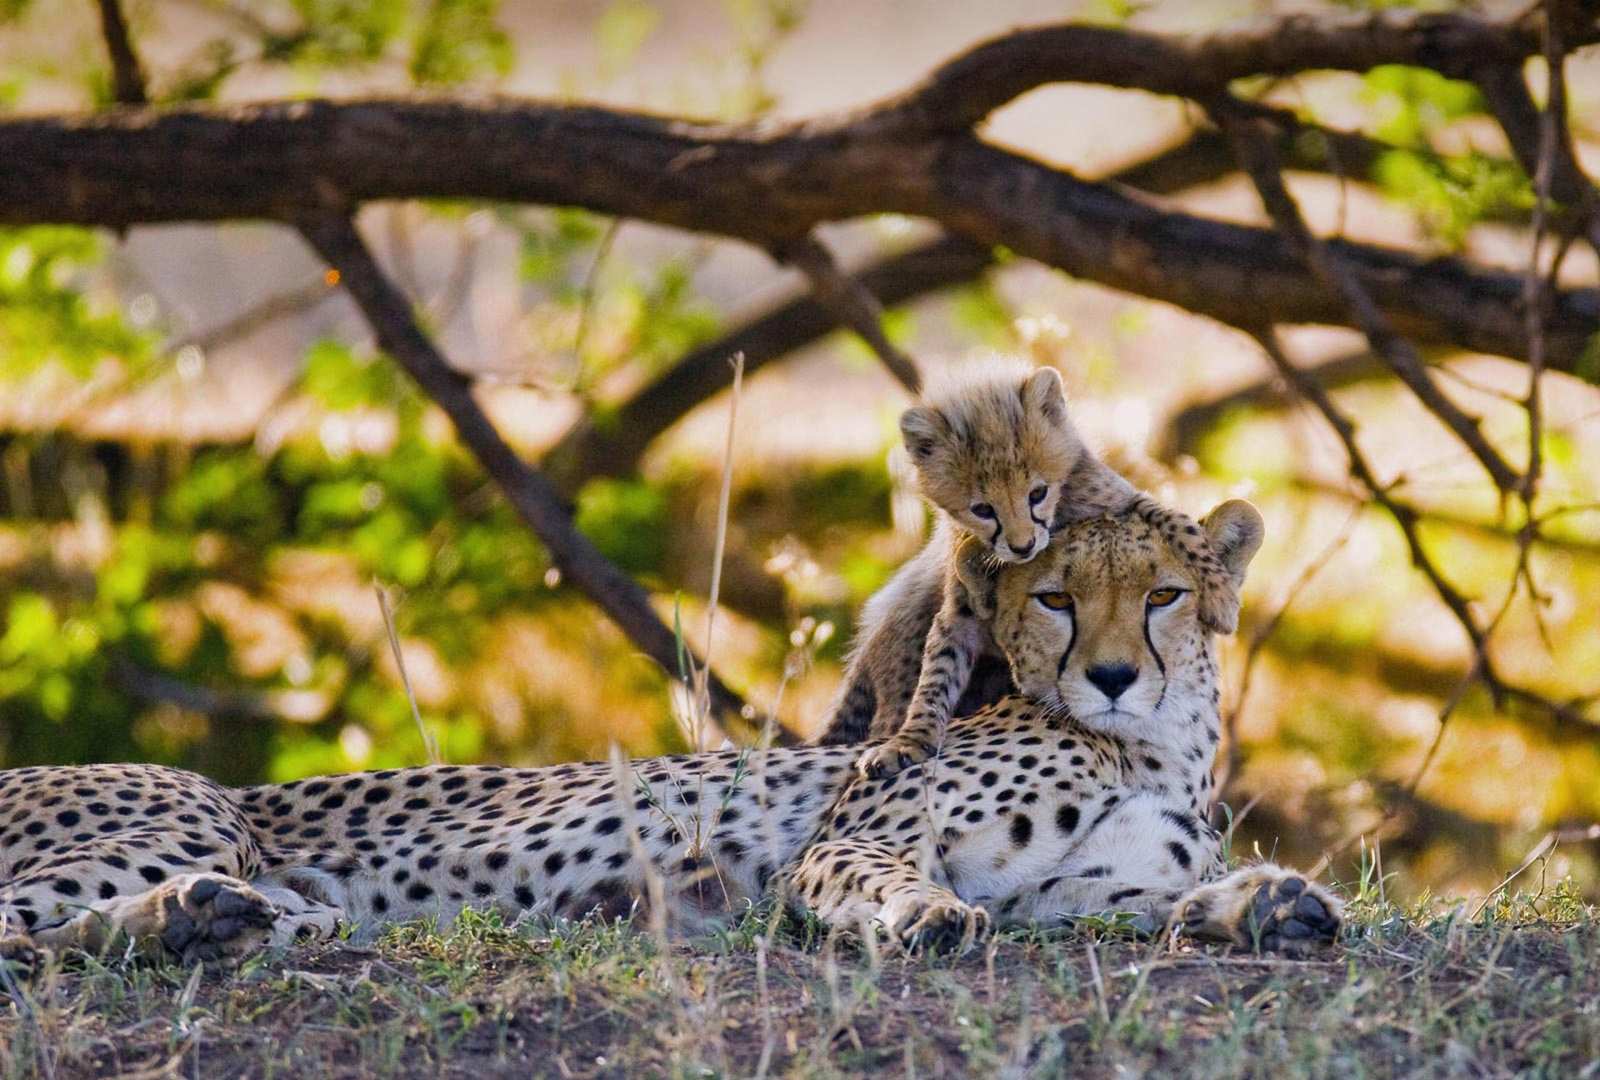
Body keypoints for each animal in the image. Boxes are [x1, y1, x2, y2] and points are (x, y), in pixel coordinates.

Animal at [0, 500, 1340, 973]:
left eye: (1160, 594)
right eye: (1055, 596)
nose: (1109, 675)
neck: (1149, 745)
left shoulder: (1068, 896)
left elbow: (1150, 906)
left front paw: (1267, 904)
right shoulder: (851, 838)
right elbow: (889, 880)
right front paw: (917, 916)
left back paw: (221, 921)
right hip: (188, 813)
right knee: (23, 931)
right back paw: (189, 915)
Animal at [816, 357, 1231, 785]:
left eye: (1037, 493)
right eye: (983, 509)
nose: (1022, 546)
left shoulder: (1124, 499)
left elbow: (1177, 523)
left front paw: (1220, 597)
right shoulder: (960, 610)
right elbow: (936, 674)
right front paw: (910, 740)